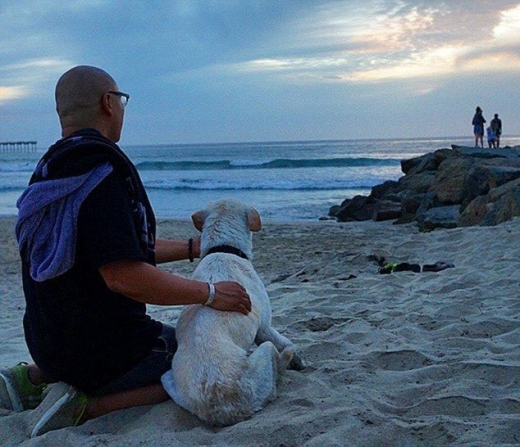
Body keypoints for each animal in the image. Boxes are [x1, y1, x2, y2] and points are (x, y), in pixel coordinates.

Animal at [160, 200, 302, 428]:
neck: (223, 250)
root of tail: (221, 407)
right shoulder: (265, 328)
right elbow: (286, 342)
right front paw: (299, 361)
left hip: (167, 379)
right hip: (263, 352)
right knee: (275, 372)